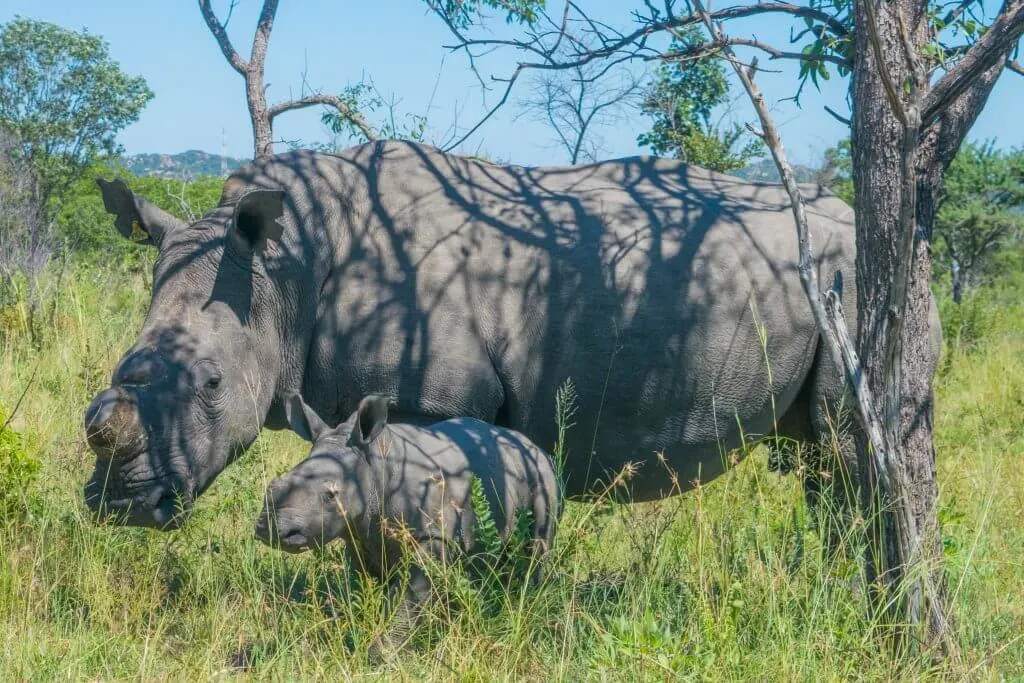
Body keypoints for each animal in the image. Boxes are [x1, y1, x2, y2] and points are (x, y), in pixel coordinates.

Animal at [83, 140, 940, 529]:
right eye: (123, 363)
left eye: (212, 385)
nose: (122, 507)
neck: (286, 271)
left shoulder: (430, 399)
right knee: (819, 453)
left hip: (852, 272)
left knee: (848, 448)